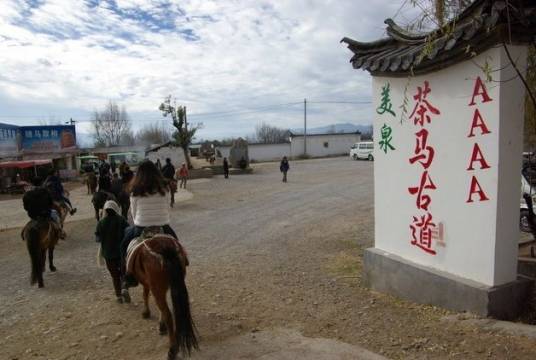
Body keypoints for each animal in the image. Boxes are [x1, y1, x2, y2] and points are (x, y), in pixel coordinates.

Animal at [126, 229, 198, 358]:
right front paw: (160, 324)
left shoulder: (148, 284)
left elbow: (145, 295)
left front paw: (146, 313)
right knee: (166, 309)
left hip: (157, 287)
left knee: (168, 314)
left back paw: (172, 350)